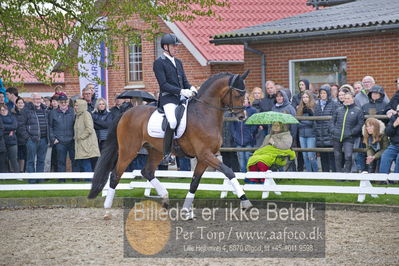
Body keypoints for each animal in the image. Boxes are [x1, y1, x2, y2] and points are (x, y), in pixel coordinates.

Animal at [90, 70, 253, 218]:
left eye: (245, 93)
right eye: (238, 94)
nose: (242, 116)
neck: (204, 113)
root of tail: (126, 113)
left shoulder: (204, 158)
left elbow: (194, 182)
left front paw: (186, 211)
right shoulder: (205, 154)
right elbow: (229, 171)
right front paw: (245, 201)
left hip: (156, 151)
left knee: (147, 172)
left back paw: (165, 198)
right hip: (128, 150)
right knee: (115, 175)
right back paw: (107, 210)